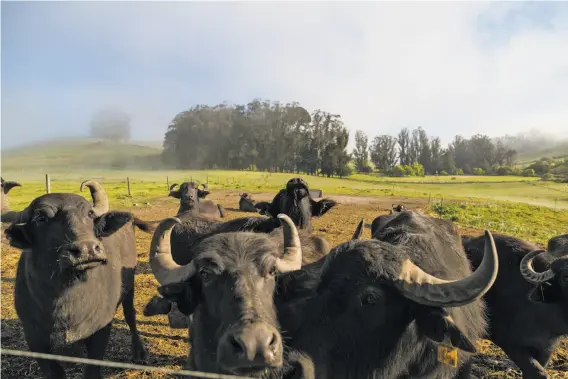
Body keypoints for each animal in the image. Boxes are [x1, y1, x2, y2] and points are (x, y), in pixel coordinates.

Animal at [1, 181, 153, 379]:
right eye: (40, 218)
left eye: (89, 214)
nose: (87, 248)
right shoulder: (35, 340)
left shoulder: (100, 331)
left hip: (130, 284)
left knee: (130, 315)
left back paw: (139, 353)